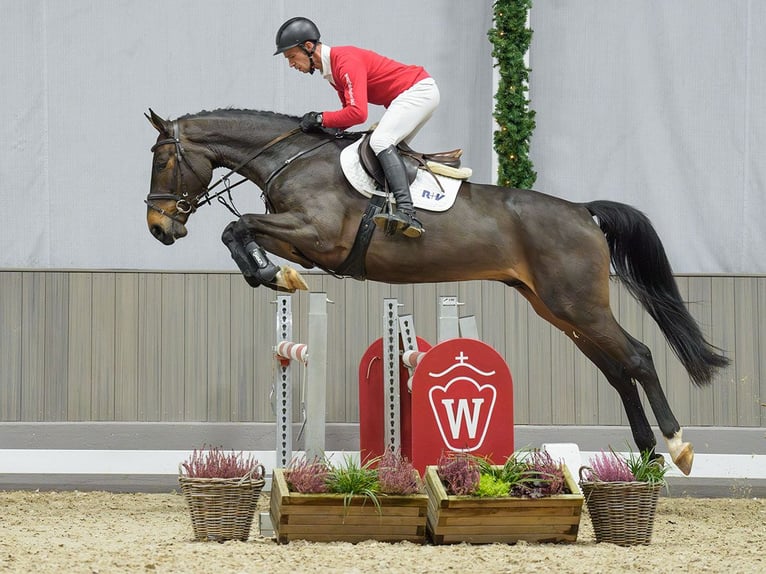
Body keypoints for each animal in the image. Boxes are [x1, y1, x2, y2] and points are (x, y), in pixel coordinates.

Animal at [146, 108, 732, 476]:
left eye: (163, 160)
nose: (158, 228)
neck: (292, 160)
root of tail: (583, 212)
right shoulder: (305, 243)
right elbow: (242, 232)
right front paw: (276, 275)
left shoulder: (317, 236)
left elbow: (237, 226)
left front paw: (272, 275)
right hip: (558, 310)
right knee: (617, 370)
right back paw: (647, 457)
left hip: (578, 306)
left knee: (638, 356)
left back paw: (677, 447)